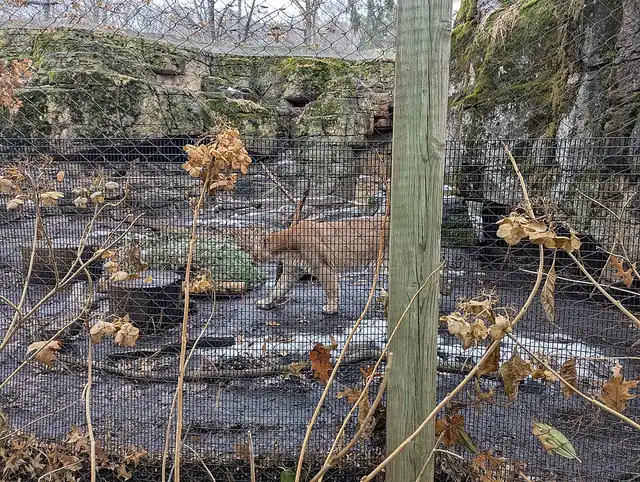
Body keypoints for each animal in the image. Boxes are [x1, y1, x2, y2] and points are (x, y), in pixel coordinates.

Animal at [252, 216, 389, 314]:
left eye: (252, 252)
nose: (252, 261)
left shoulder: (323, 268)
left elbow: (331, 289)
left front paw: (331, 308)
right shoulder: (291, 271)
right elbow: (278, 289)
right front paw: (266, 301)